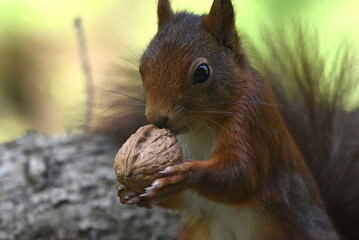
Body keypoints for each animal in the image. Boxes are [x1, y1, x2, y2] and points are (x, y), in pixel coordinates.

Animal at [114, 0, 358, 240]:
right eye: (141, 67)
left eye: (202, 72)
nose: (158, 119)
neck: (200, 129)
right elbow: (184, 200)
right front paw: (133, 192)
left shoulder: (252, 123)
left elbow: (242, 177)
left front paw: (185, 175)